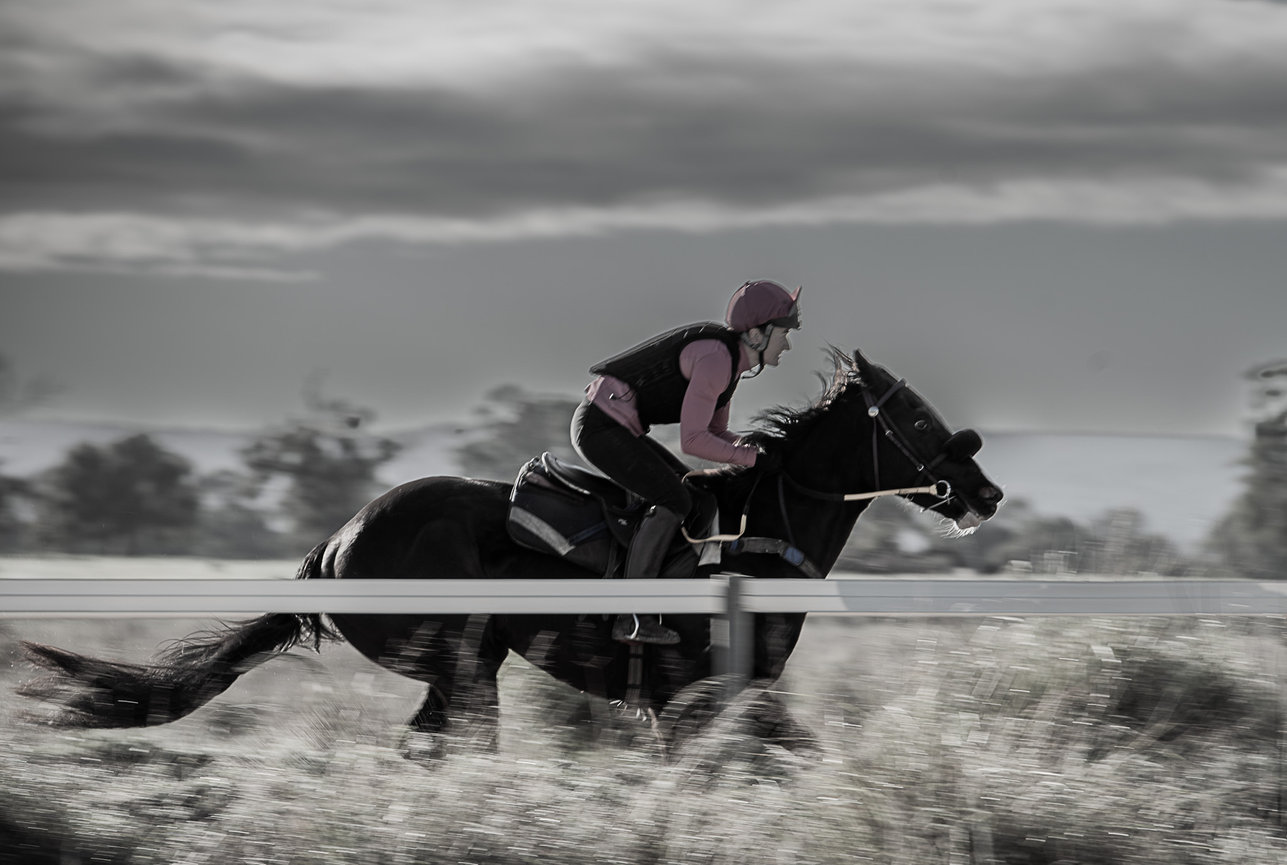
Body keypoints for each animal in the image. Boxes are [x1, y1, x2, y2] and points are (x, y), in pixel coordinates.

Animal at [20, 347, 1003, 759]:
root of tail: (334, 542)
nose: (985, 491)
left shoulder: (713, 703)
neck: (756, 535)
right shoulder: (695, 697)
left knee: (424, 746)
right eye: (916, 420)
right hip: (462, 661)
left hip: (463, 666)